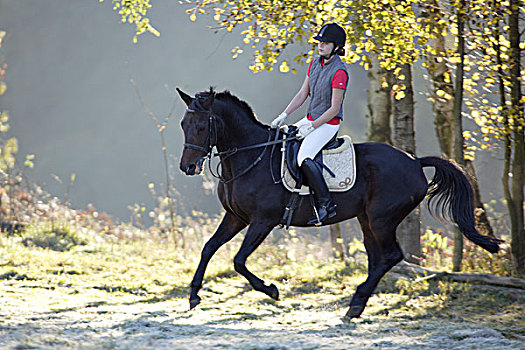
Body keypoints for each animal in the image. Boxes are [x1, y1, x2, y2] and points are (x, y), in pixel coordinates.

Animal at [177, 87, 504, 320]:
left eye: (201, 127)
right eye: (183, 124)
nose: (187, 167)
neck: (251, 156)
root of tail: (414, 161)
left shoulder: (262, 221)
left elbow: (238, 260)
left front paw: (272, 290)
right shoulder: (236, 217)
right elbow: (209, 247)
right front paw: (193, 295)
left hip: (381, 219)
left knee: (391, 256)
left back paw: (355, 304)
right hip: (366, 219)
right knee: (378, 259)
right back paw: (357, 305)